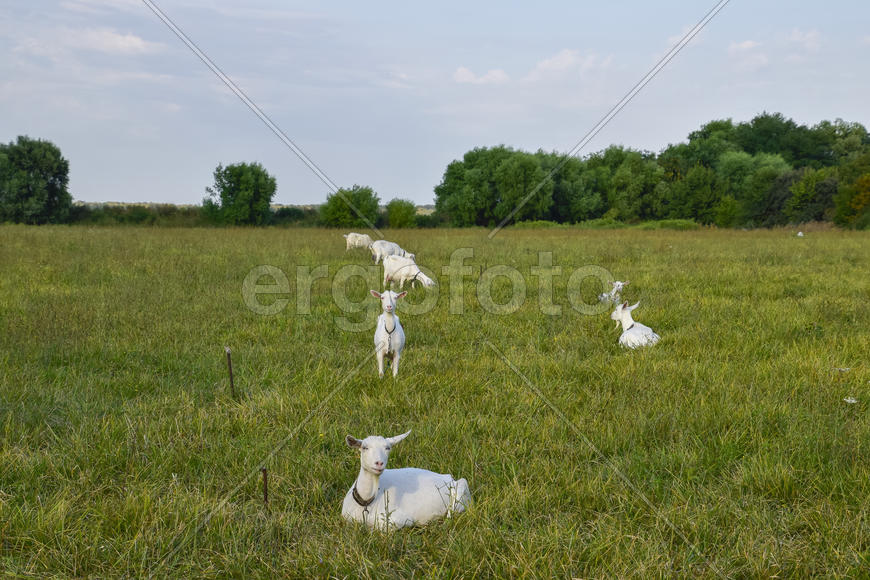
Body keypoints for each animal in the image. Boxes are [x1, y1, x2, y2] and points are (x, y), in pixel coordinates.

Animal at [342, 430, 472, 530]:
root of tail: (449, 478)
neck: (366, 502)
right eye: (364, 447)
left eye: (388, 448)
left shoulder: (400, 519)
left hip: (461, 493)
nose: (379, 463)